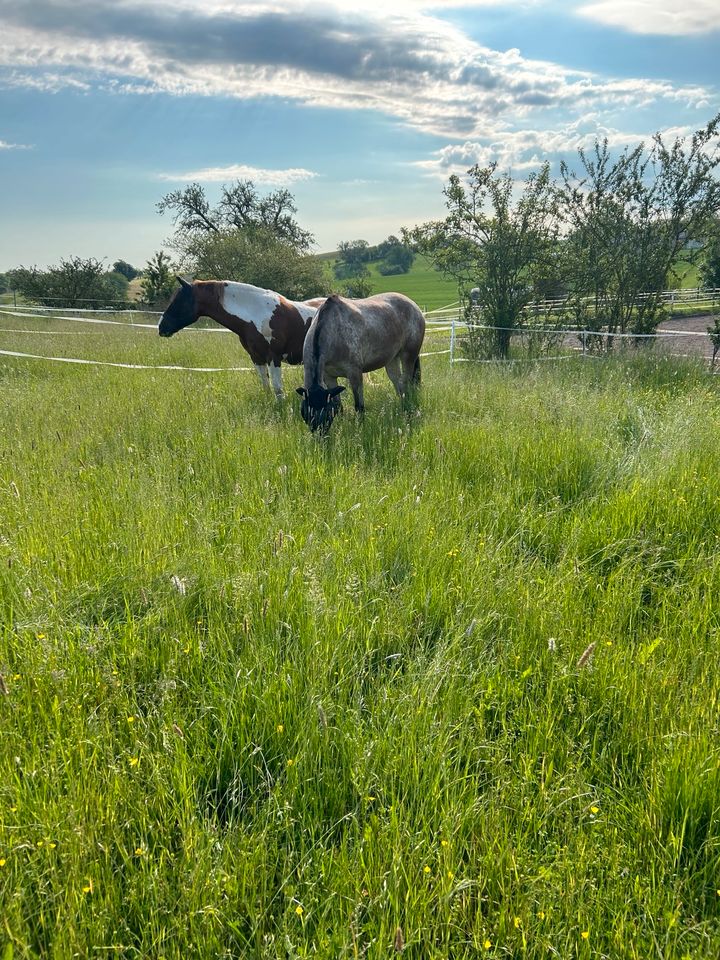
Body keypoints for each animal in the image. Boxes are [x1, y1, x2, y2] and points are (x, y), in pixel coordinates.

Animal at [161, 278, 326, 398]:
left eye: (178, 301)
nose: (162, 327)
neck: (256, 313)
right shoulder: (256, 357)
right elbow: (266, 385)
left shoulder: (273, 357)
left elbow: (278, 389)